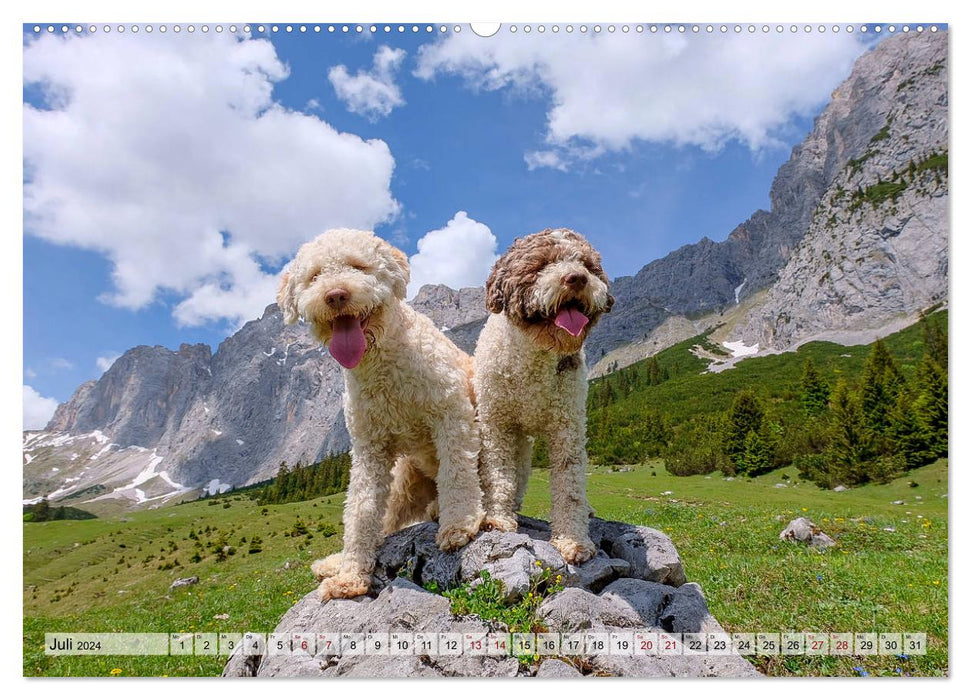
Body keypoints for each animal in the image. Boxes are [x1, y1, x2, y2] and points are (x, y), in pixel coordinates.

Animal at [278, 230, 482, 600]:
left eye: (359, 266)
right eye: (314, 276)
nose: (335, 295)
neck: (382, 364)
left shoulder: (451, 413)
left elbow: (457, 472)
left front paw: (459, 524)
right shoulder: (368, 448)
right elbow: (360, 510)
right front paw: (350, 576)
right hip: (403, 483)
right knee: (385, 521)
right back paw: (334, 563)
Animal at [472, 228, 616, 564]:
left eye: (588, 266)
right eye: (541, 264)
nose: (577, 278)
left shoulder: (568, 426)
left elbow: (570, 485)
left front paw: (573, 541)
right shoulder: (495, 423)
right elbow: (498, 473)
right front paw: (497, 519)